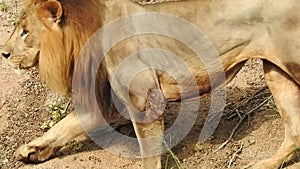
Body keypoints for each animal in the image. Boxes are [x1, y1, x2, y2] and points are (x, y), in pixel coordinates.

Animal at [1, 0, 300, 168]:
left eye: (25, 32)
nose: (3, 53)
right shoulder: (103, 100)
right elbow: (64, 126)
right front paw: (31, 151)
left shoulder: (144, 101)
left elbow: (148, 155)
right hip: (276, 72)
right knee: (294, 133)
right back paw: (267, 164)